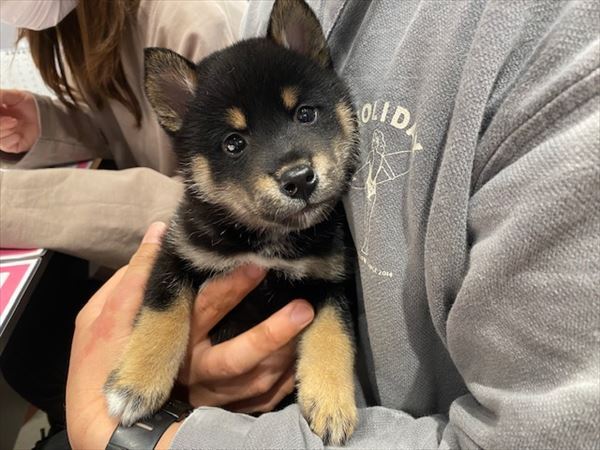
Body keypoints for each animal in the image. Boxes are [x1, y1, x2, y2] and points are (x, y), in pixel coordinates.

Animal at [103, 0, 360, 444]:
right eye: (234, 143)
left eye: (305, 114)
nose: (299, 178)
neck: (266, 240)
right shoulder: (176, 253)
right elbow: (161, 316)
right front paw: (135, 384)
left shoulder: (330, 278)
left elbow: (334, 333)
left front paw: (332, 401)